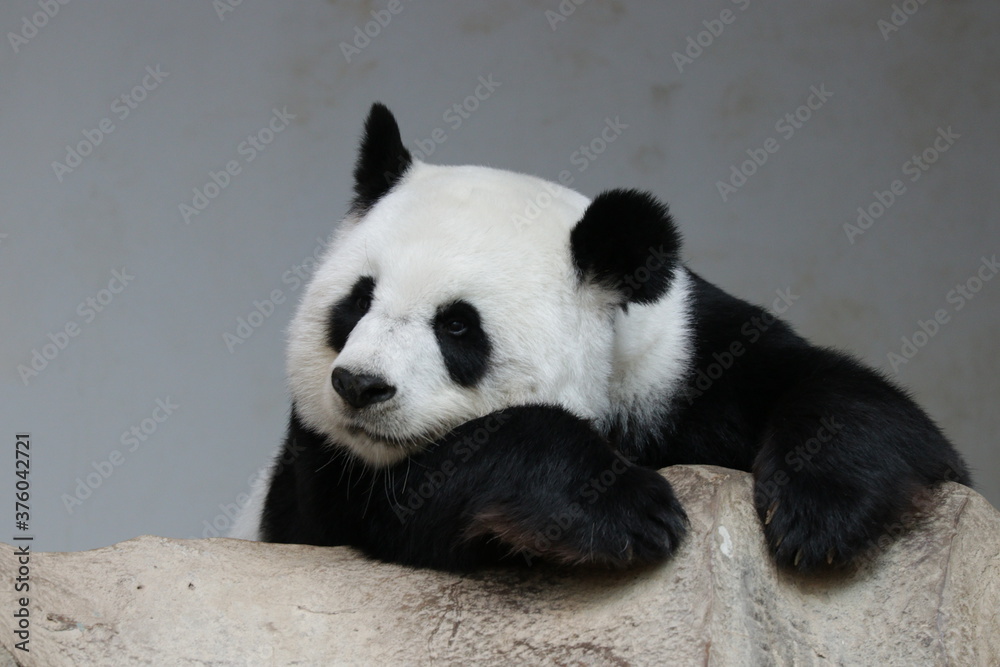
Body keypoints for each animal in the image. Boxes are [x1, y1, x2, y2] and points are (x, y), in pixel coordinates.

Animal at [228, 103, 970, 573]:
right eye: (357, 303)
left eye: (457, 325)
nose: (360, 386)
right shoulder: (323, 478)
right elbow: (420, 487)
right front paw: (629, 510)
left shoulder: (686, 357)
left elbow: (850, 397)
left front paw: (818, 515)